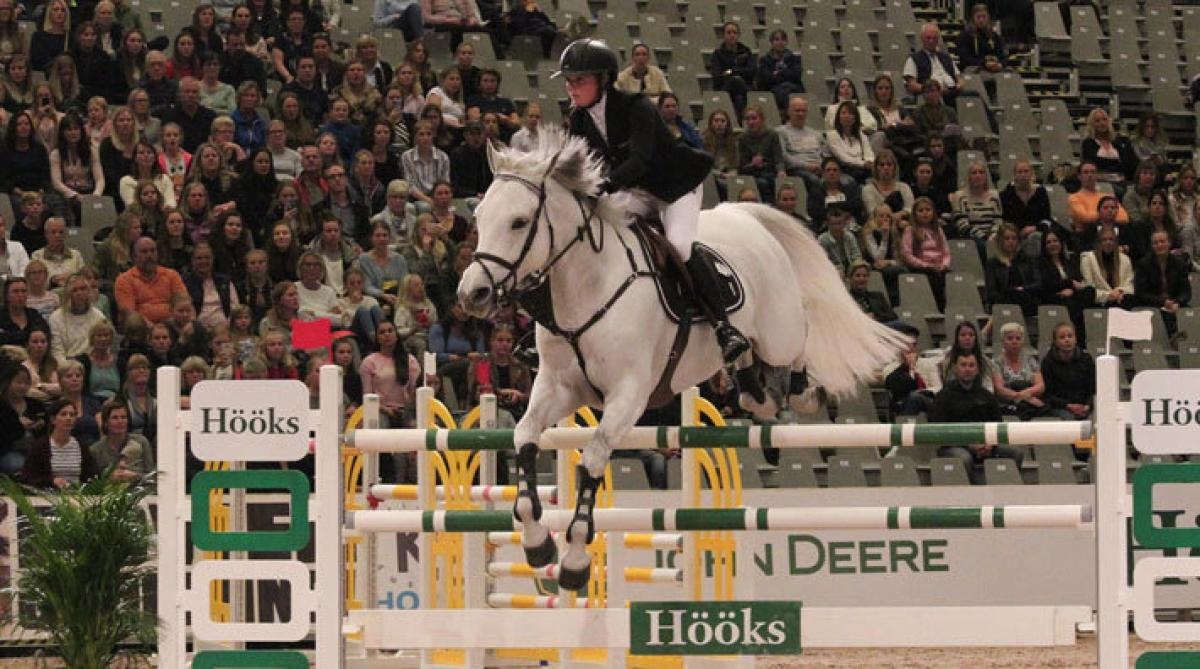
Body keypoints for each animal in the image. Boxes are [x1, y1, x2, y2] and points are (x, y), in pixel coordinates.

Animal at [458, 128, 907, 589]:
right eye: (480, 218)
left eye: (519, 222)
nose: (472, 294)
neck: (586, 287)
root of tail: (744, 215)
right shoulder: (558, 387)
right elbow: (525, 439)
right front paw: (537, 544)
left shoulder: (629, 394)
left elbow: (594, 459)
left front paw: (574, 562)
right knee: (749, 365)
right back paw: (755, 391)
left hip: (778, 330)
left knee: (798, 338)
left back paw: (802, 392)